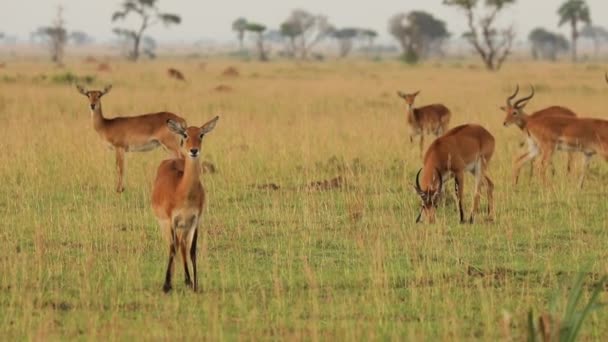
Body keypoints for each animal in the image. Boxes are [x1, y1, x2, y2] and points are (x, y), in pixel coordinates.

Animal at [151, 115, 218, 292]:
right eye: (185, 134)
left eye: (201, 134)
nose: (193, 150)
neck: (183, 192)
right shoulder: (172, 221)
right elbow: (172, 248)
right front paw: (166, 286)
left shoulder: (195, 220)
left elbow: (192, 250)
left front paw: (195, 285)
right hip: (165, 224)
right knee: (173, 245)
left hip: (185, 226)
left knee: (182, 245)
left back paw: (187, 280)